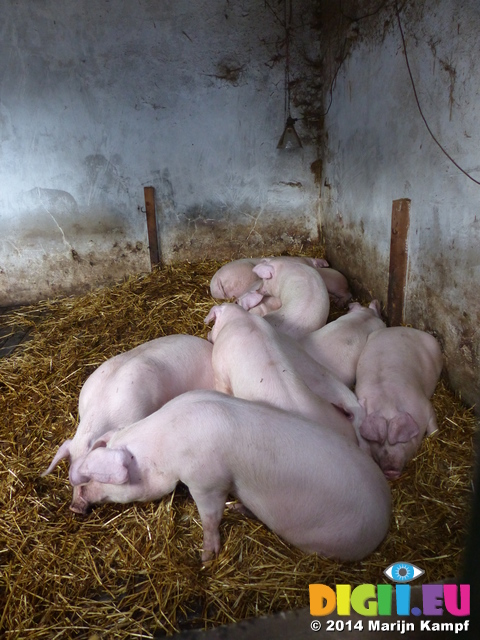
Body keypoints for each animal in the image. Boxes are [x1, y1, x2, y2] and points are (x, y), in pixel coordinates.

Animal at [68, 390, 390, 560]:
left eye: (99, 478)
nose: (76, 504)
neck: (164, 445)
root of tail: (383, 519)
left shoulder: (207, 481)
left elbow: (210, 517)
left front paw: (205, 557)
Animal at [354, 328, 444, 478]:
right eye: (377, 442)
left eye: (399, 440)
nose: (390, 470)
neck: (386, 402)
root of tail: (398, 328)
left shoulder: (425, 405)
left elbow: (433, 426)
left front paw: (434, 437)